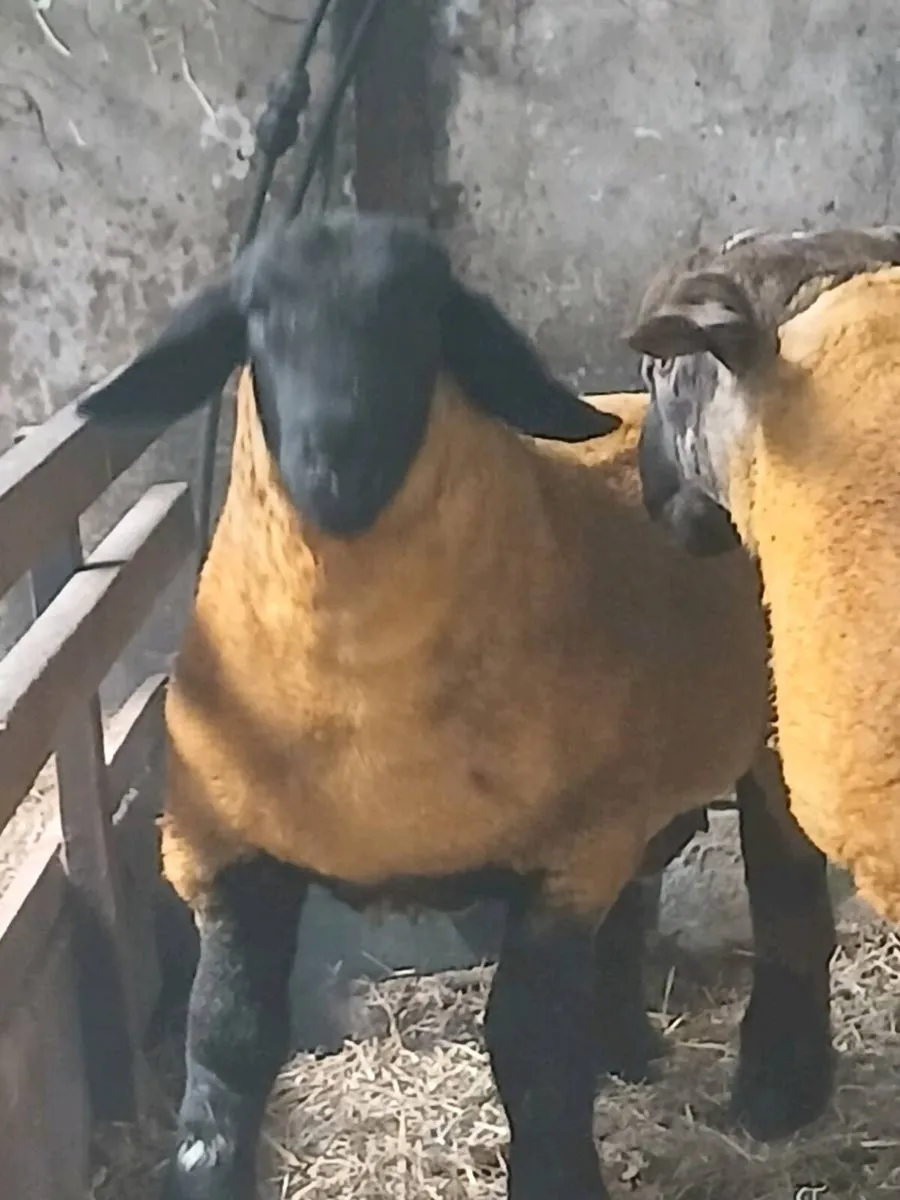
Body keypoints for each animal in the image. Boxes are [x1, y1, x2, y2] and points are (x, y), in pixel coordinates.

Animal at [77, 209, 835, 1200]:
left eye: (422, 317)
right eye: (257, 319)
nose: (338, 462)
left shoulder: (564, 860)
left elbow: (531, 1048)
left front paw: (559, 1174)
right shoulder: (229, 854)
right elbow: (227, 1048)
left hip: (771, 747)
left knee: (788, 903)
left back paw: (779, 1091)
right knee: (639, 900)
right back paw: (625, 1051)